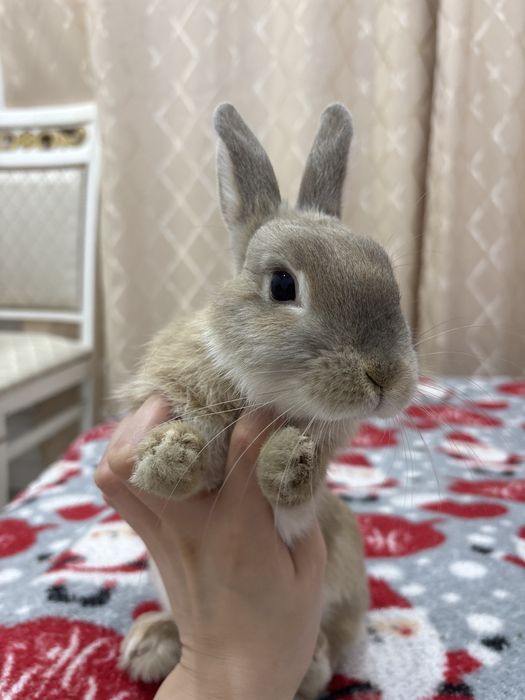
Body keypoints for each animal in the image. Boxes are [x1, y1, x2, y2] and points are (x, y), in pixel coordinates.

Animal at [118, 103, 418, 699]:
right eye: (282, 285)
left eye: (389, 278)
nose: (385, 376)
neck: (260, 387)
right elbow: (188, 458)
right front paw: (168, 456)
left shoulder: (310, 503)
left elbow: (295, 490)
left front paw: (288, 460)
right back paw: (153, 643)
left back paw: (312, 665)